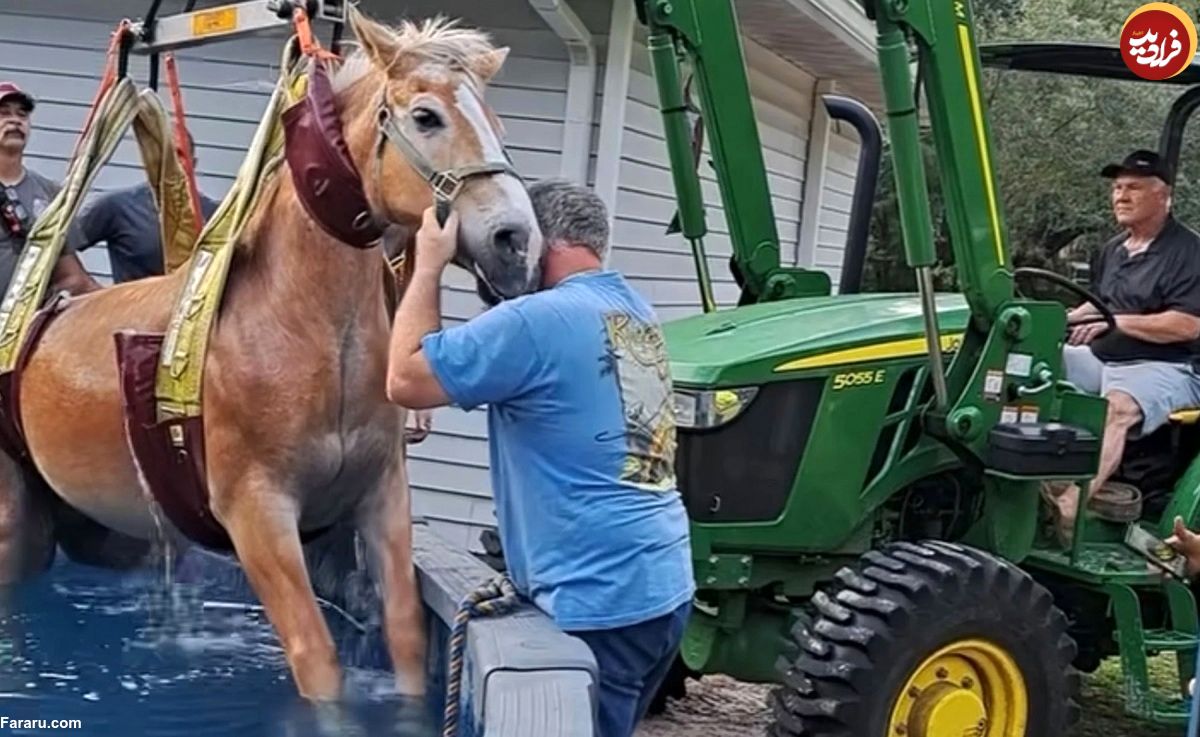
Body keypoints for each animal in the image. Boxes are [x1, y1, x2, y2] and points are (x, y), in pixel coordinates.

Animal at [0, 7, 540, 705]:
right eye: (427, 117)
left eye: (497, 125)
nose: (515, 240)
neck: (300, 328)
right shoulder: (259, 516)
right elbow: (318, 661)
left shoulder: (382, 496)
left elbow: (404, 637)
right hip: (15, 520)